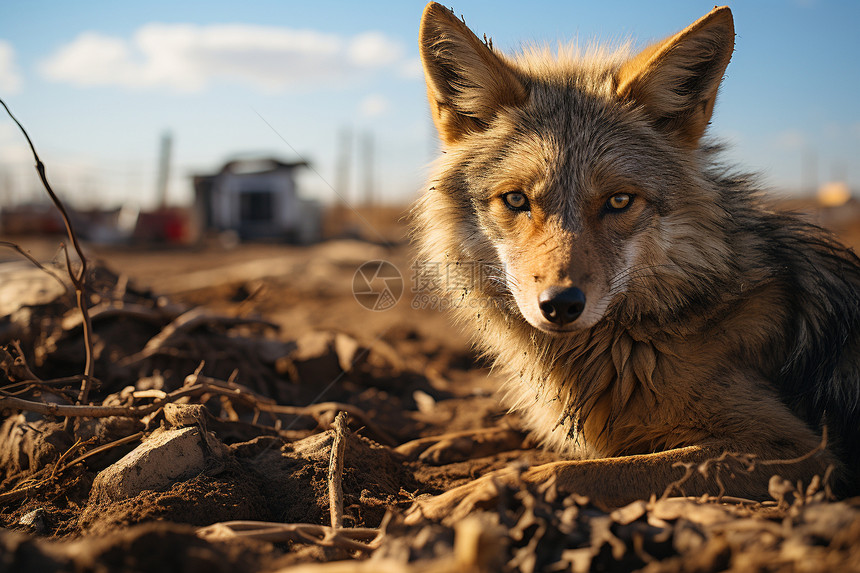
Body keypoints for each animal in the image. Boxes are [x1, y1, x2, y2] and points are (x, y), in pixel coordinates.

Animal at [408, 3, 860, 512]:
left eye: (619, 201)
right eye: (517, 200)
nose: (560, 305)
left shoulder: (799, 453)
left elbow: (574, 471)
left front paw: (467, 497)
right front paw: (441, 444)